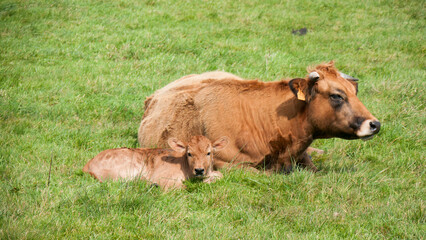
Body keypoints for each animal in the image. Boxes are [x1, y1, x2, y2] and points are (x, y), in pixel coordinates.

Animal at [83, 135, 230, 189]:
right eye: (189, 153)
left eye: (208, 153)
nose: (199, 170)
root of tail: (88, 164)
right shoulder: (164, 178)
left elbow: (220, 175)